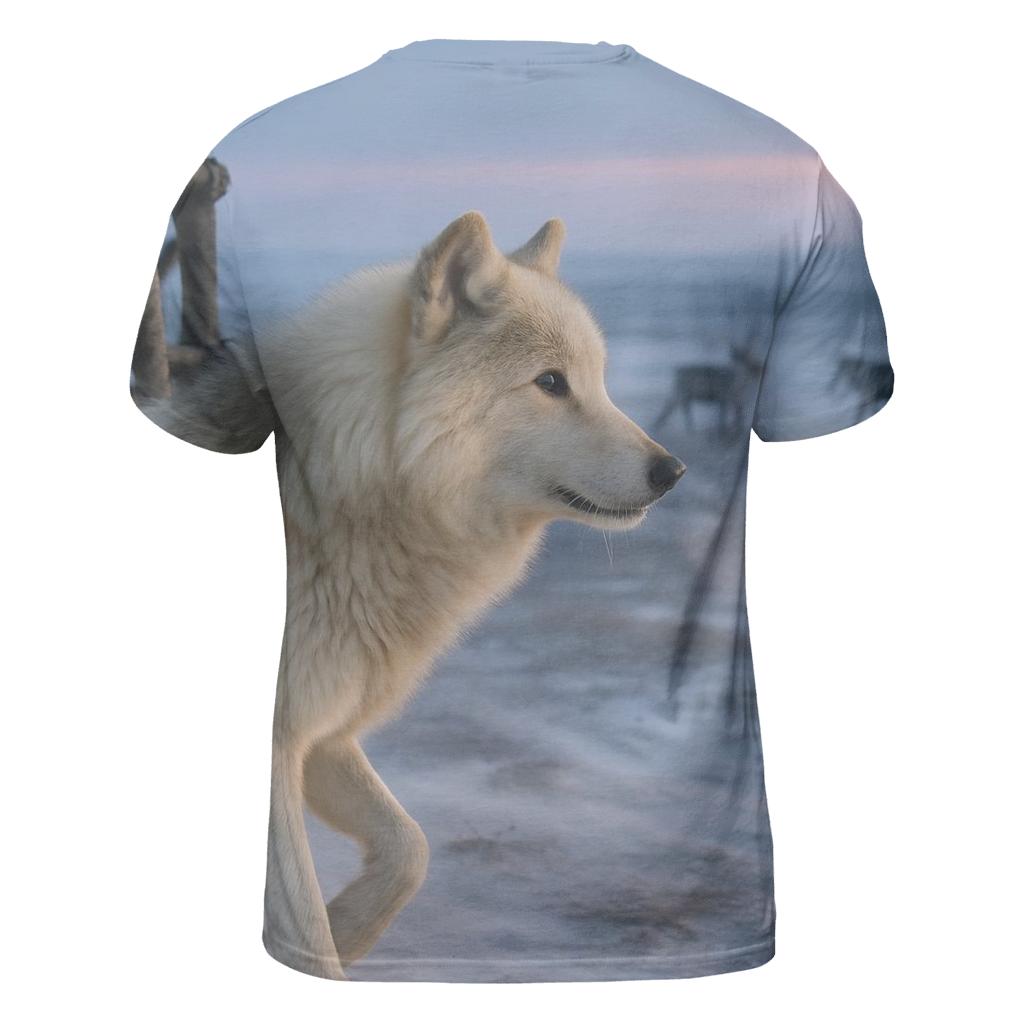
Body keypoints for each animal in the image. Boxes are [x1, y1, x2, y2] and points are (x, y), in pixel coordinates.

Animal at [144, 211, 685, 979]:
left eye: (598, 381)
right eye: (551, 382)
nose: (672, 471)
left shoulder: (323, 735)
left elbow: (411, 849)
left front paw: (348, 929)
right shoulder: (283, 743)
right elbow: (304, 910)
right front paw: (327, 946)